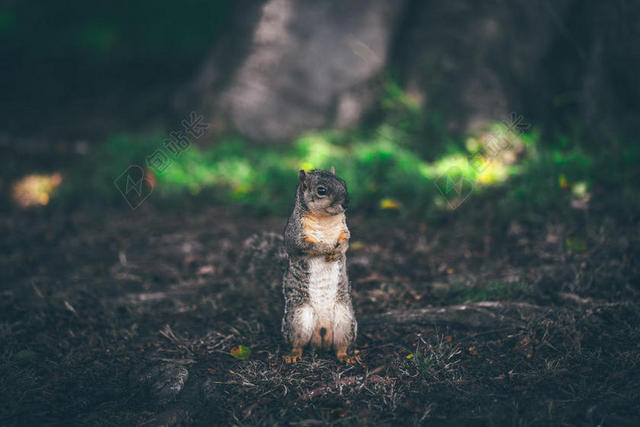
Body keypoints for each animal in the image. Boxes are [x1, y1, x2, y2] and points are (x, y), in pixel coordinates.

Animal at [282, 167, 358, 364]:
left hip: (345, 320)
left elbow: (346, 241)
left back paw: (346, 356)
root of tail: (322, 334)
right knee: (298, 343)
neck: (325, 218)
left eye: (343, 182)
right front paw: (325, 247)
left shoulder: (344, 229)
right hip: (298, 319)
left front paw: (338, 251)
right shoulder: (296, 235)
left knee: (340, 346)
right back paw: (293, 355)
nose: (346, 204)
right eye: (321, 190)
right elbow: (310, 246)